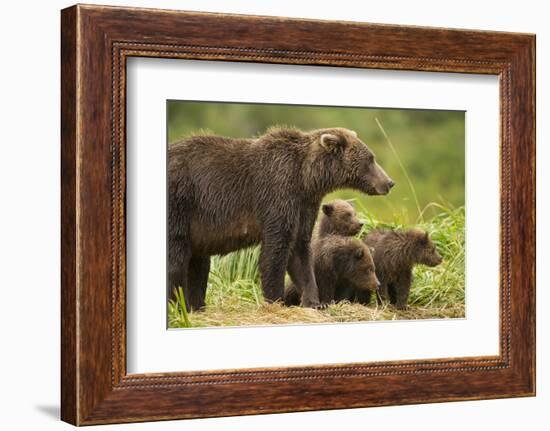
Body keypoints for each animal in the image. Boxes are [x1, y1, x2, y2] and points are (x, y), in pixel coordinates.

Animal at [169, 127, 396, 310]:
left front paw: (314, 301)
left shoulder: (304, 205)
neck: (305, 178)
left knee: (197, 265)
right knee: (177, 258)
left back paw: (195, 306)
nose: (389, 182)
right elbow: (276, 250)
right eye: (371, 159)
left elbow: (300, 252)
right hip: (182, 202)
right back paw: (178, 305)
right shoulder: (277, 194)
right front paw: (276, 299)